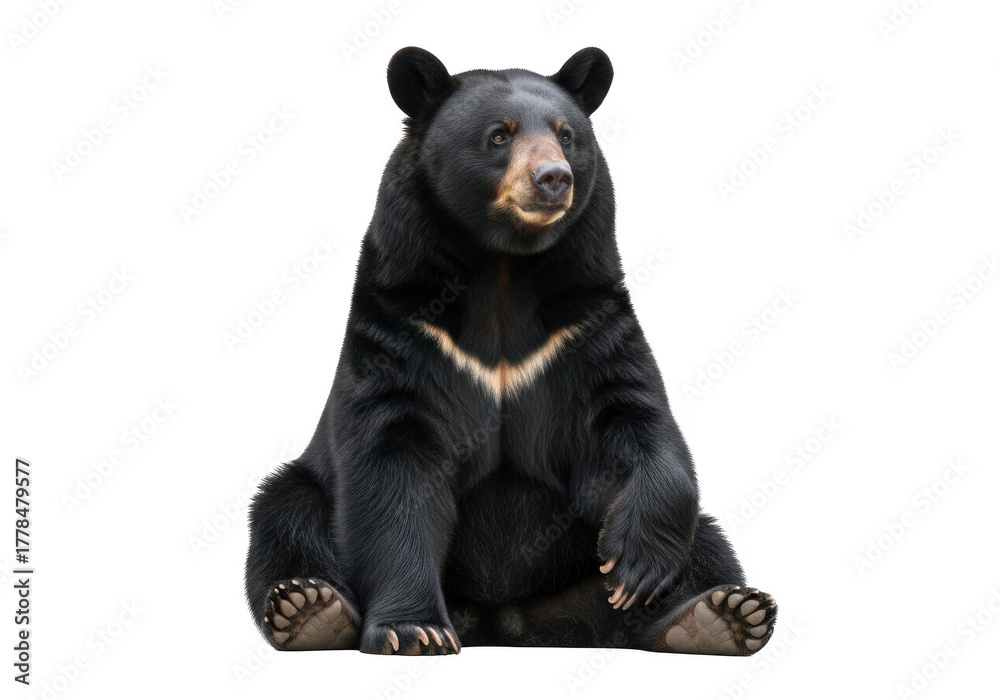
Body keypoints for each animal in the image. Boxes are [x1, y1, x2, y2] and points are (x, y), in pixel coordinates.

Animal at [244, 47, 777, 656]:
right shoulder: (404, 326)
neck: (502, 264)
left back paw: (719, 614)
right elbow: (393, 464)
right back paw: (311, 607)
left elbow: (637, 419)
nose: (553, 178)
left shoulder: (584, 325)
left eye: (568, 135)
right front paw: (414, 629)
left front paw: (637, 567)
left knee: (708, 542)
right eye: (499, 135)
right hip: (306, 488)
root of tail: (506, 621)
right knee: (285, 512)